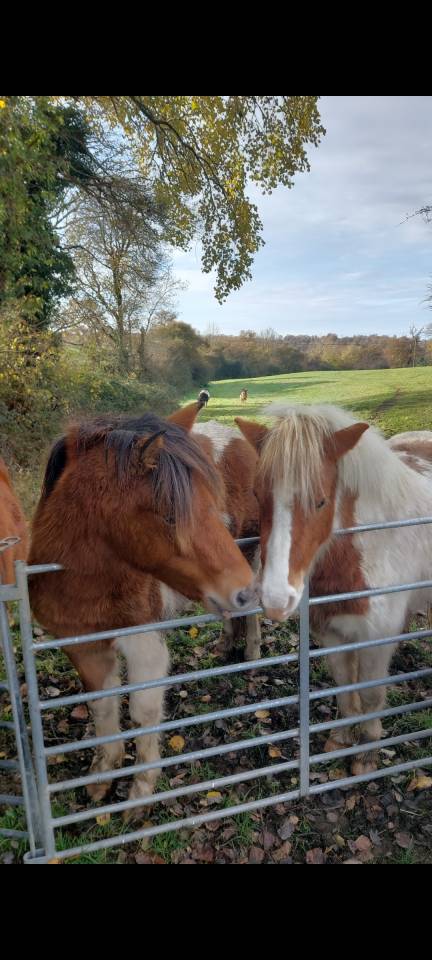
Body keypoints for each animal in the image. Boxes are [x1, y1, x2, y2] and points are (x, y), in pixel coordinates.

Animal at [29, 402, 260, 808]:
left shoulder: (143, 642)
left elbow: (142, 710)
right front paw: (103, 774)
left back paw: (252, 651)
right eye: (170, 515)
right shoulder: (83, 646)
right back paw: (226, 644)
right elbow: (102, 708)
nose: (241, 591)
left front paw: (140, 790)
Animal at [236, 403, 432, 775]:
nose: (275, 599)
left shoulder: (375, 641)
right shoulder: (332, 635)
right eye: (256, 494)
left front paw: (367, 754)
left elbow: (370, 695)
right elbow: (345, 687)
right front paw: (341, 740)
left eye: (321, 502)